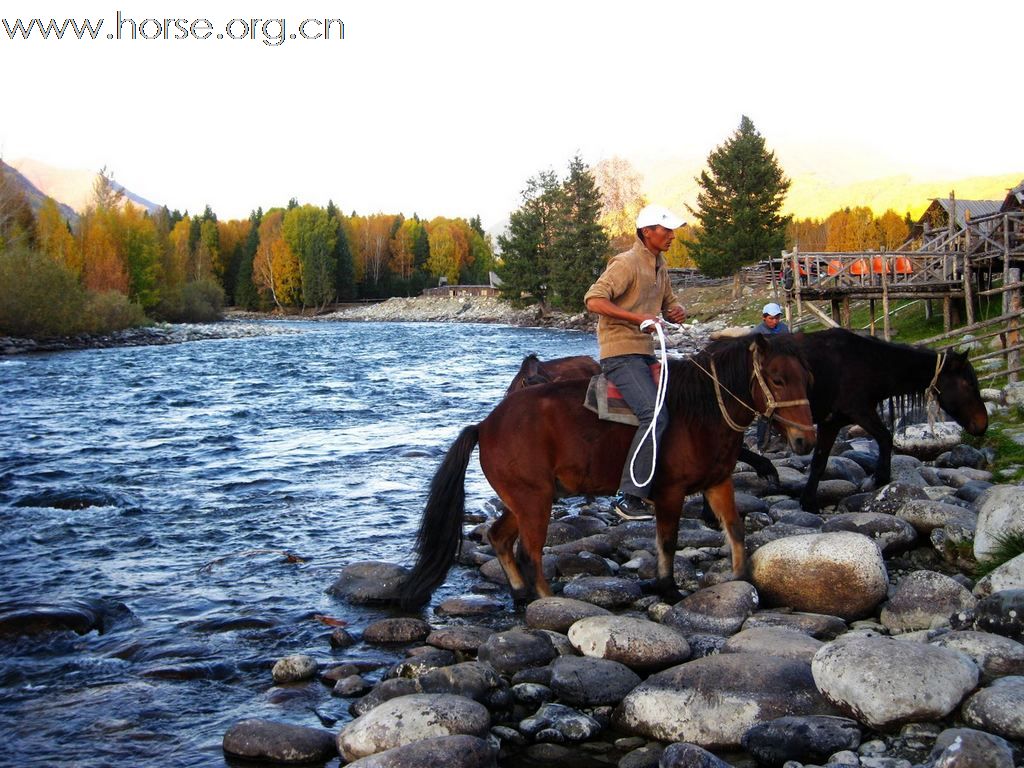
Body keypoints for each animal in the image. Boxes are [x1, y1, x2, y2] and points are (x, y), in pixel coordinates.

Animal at [399, 333, 815, 610]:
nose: (805, 440)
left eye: (806, 378)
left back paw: (519, 593)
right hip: (534, 502)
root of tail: (485, 426)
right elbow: (667, 541)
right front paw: (668, 588)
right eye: (777, 379)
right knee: (529, 553)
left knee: (499, 538)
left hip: (528, 499)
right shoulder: (670, 492)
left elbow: (736, 528)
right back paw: (551, 604)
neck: (701, 411)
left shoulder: (717, 482)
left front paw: (743, 579)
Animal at [741, 327, 987, 514]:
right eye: (969, 384)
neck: (867, 363)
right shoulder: (857, 413)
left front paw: (808, 501)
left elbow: (820, 461)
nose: (982, 424)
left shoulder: (835, 422)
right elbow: (885, 438)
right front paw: (879, 479)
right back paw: (765, 468)